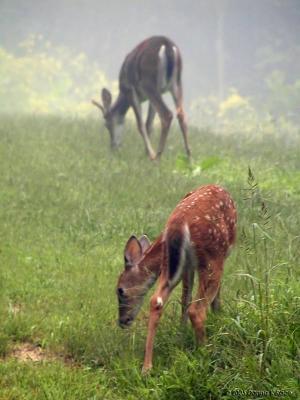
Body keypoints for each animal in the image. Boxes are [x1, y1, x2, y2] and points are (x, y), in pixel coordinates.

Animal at [116, 184, 237, 372]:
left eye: (120, 290)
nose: (122, 321)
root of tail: (179, 225)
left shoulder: (187, 267)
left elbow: (184, 298)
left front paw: (181, 334)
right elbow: (214, 296)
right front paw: (219, 317)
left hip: (173, 264)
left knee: (156, 300)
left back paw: (147, 367)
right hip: (212, 255)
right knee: (197, 310)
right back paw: (206, 355)